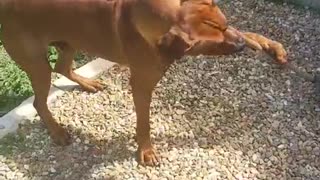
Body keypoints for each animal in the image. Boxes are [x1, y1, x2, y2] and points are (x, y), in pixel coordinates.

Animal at [0, 0, 245, 166]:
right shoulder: (141, 85)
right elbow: (144, 123)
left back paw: (88, 83)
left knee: (62, 68)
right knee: (39, 102)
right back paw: (57, 131)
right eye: (215, 42)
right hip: (37, 65)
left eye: (226, 25)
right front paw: (146, 151)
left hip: (70, 42)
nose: (243, 43)